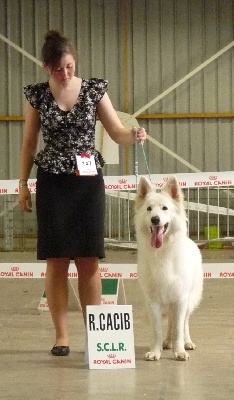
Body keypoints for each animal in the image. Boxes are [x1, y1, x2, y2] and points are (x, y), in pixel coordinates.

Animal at [134, 177, 204, 360]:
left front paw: (179, 351)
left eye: (165, 208)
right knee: (171, 324)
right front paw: (155, 351)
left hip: (189, 300)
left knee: (184, 323)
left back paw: (187, 343)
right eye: (149, 209)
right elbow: (157, 330)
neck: (162, 251)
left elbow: (179, 328)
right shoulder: (153, 302)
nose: (155, 219)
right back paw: (167, 342)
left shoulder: (180, 299)